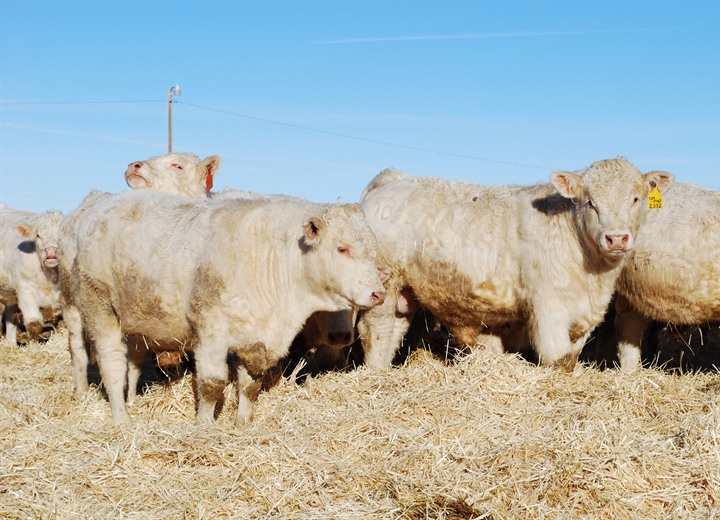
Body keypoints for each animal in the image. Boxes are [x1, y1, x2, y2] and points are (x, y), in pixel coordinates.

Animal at [0, 207, 63, 346]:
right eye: (38, 235)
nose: (51, 251)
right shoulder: (25, 289)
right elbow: (34, 323)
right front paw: (33, 346)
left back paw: (10, 344)